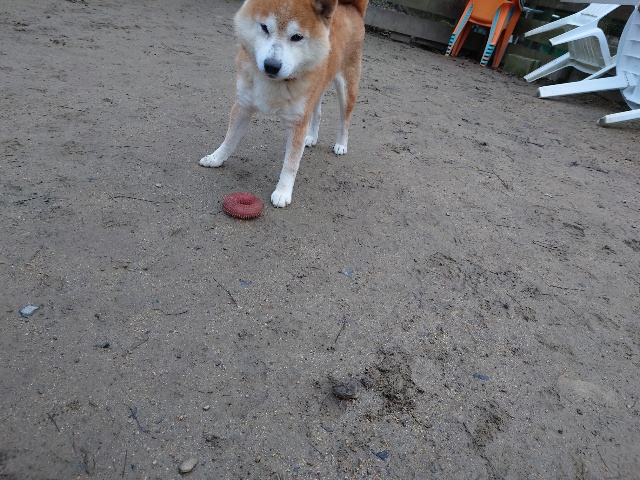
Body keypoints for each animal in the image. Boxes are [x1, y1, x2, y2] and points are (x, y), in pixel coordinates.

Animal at [199, 0, 369, 208]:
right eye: (265, 27)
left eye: (297, 37)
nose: (271, 65)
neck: (275, 83)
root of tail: (352, 9)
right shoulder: (243, 106)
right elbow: (230, 138)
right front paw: (216, 158)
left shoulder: (297, 123)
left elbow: (291, 163)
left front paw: (283, 191)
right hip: (316, 91)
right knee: (317, 113)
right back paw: (311, 137)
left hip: (346, 88)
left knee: (345, 119)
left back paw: (341, 144)